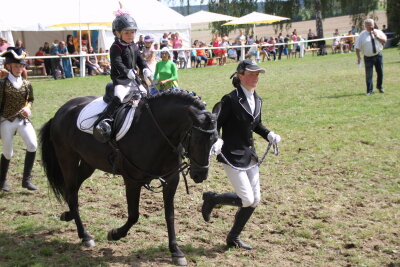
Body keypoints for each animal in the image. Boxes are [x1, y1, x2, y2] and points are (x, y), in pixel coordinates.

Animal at [40, 91, 220, 266]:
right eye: (196, 139)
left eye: (215, 140)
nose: (200, 175)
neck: (156, 132)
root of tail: (62, 111)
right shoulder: (132, 181)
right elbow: (134, 215)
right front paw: (115, 234)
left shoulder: (171, 180)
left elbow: (170, 215)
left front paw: (176, 251)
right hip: (67, 160)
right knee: (72, 193)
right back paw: (85, 235)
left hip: (88, 163)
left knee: (72, 192)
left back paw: (68, 215)